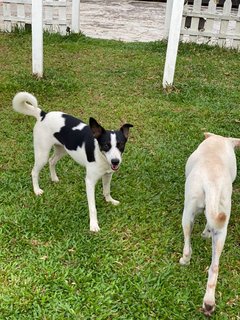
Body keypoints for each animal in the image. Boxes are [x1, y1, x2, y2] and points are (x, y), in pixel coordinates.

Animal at [12, 91, 133, 231]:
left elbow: (107, 191)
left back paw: (54, 178)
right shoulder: (89, 182)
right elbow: (92, 208)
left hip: (62, 150)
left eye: (120, 145)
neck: (100, 155)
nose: (115, 161)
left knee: (52, 161)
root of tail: (43, 115)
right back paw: (37, 190)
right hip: (42, 153)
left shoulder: (108, 175)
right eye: (106, 145)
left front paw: (110, 201)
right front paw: (93, 225)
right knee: (34, 171)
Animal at [180, 132, 240, 316]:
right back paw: (208, 303)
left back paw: (184, 261)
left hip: (188, 213)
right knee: (214, 267)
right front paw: (205, 233)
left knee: (187, 245)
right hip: (222, 226)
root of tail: (212, 184)